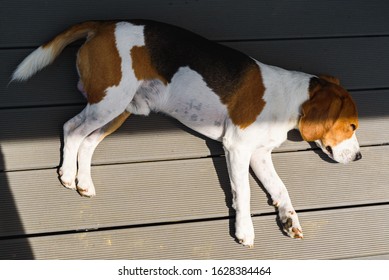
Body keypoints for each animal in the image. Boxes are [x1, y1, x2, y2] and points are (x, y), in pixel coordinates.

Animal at [12, 20, 360, 247]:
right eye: (353, 125)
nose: (359, 157)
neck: (291, 99)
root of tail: (104, 24)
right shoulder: (237, 147)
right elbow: (244, 192)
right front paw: (245, 230)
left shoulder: (259, 155)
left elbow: (281, 188)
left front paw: (289, 219)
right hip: (109, 102)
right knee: (71, 129)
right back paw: (67, 174)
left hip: (120, 110)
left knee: (86, 142)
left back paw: (84, 181)